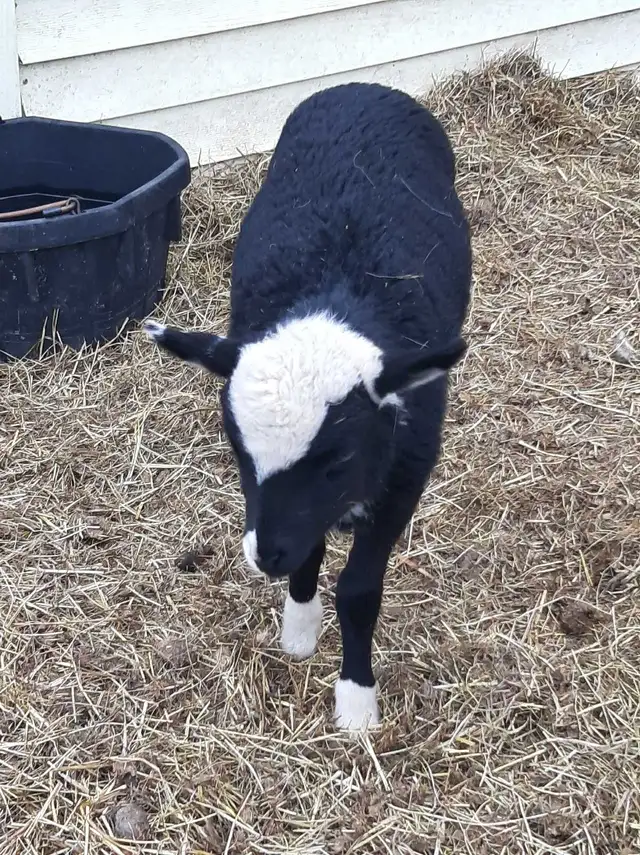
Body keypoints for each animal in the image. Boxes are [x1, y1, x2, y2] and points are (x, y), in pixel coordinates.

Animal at [144, 82, 472, 733]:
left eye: (338, 460)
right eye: (237, 452)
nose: (266, 556)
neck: (336, 288)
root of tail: (364, 88)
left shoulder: (403, 481)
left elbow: (360, 592)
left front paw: (356, 701)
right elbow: (311, 550)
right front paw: (299, 627)